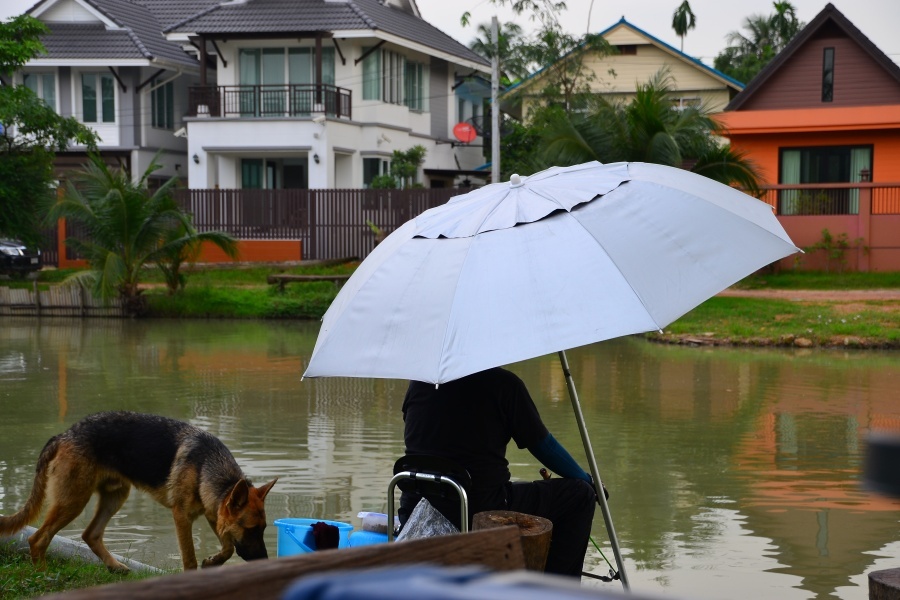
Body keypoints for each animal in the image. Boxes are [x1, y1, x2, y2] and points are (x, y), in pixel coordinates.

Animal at [0, 412, 278, 572]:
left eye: (263, 529)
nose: (265, 561)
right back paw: (44, 575)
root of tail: (64, 434)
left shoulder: (214, 513)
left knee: (90, 534)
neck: (207, 466)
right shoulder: (182, 517)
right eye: (251, 529)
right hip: (73, 501)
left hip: (115, 497)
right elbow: (190, 559)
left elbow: (228, 547)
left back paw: (114, 566)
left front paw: (212, 561)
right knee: (38, 539)